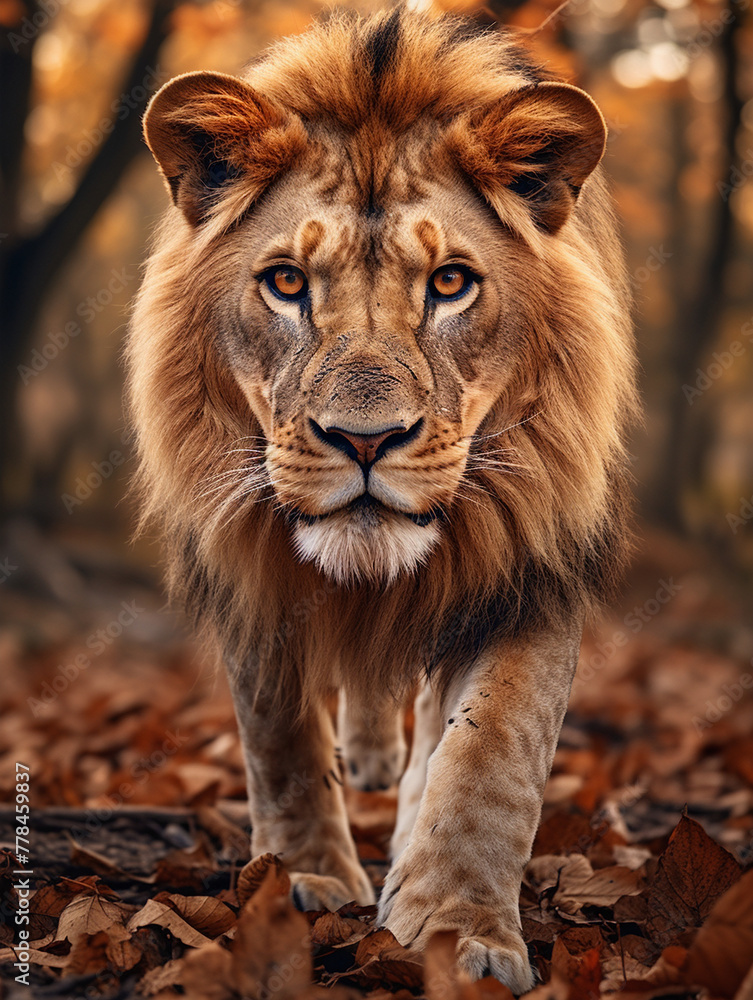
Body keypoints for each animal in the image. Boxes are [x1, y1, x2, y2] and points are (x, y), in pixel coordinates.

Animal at [127, 6, 637, 990]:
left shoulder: (534, 559)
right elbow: (278, 739)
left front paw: (455, 927)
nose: (364, 441)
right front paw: (304, 878)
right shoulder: (252, 570)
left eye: (450, 283)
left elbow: (489, 752)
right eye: (287, 282)